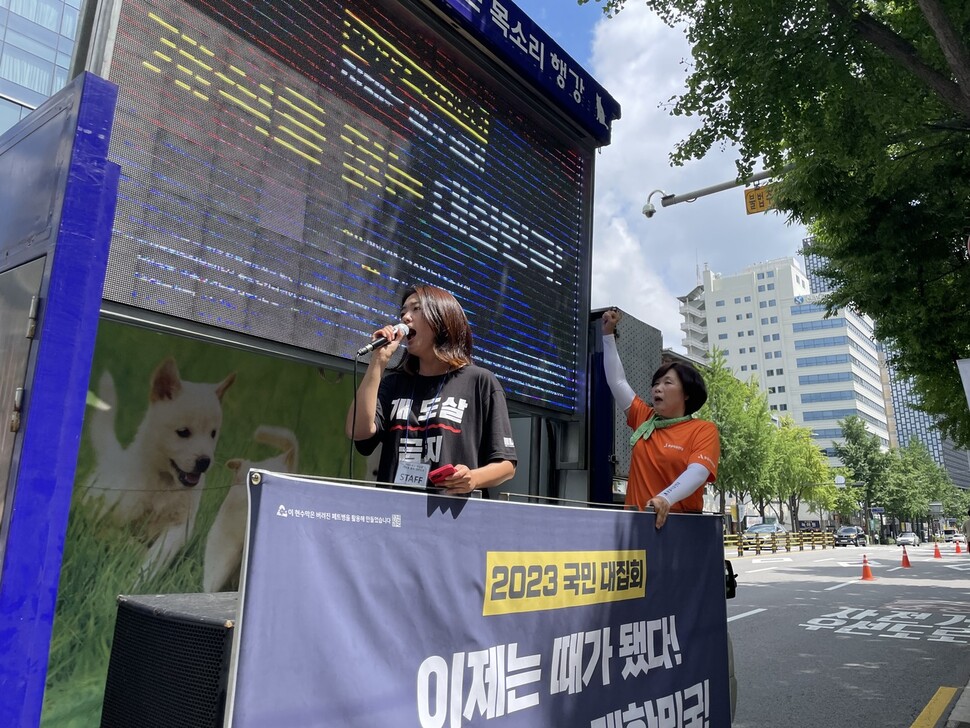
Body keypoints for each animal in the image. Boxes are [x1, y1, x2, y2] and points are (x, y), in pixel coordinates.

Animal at [83, 358, 234, 580]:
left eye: (213, 433)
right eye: (183, 432)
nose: (204, 461)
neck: (164, 483)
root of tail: (113, 457)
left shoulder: (179, 526)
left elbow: (158, 554)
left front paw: (143, 576)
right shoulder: (110, 518)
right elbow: (123, 539)